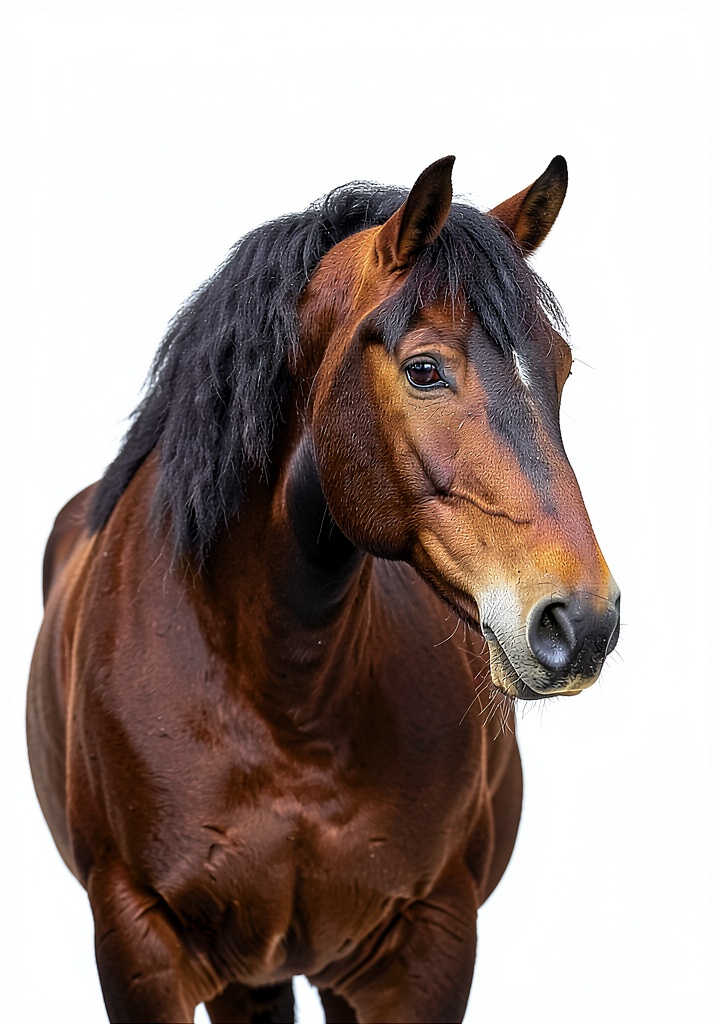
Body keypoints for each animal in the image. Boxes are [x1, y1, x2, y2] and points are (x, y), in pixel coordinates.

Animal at [28, 155, 620, 1024]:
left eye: (562, 367)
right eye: (424, 369)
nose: (582, 623)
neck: (283, 698)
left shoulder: (427, 943)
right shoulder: (138, 946)